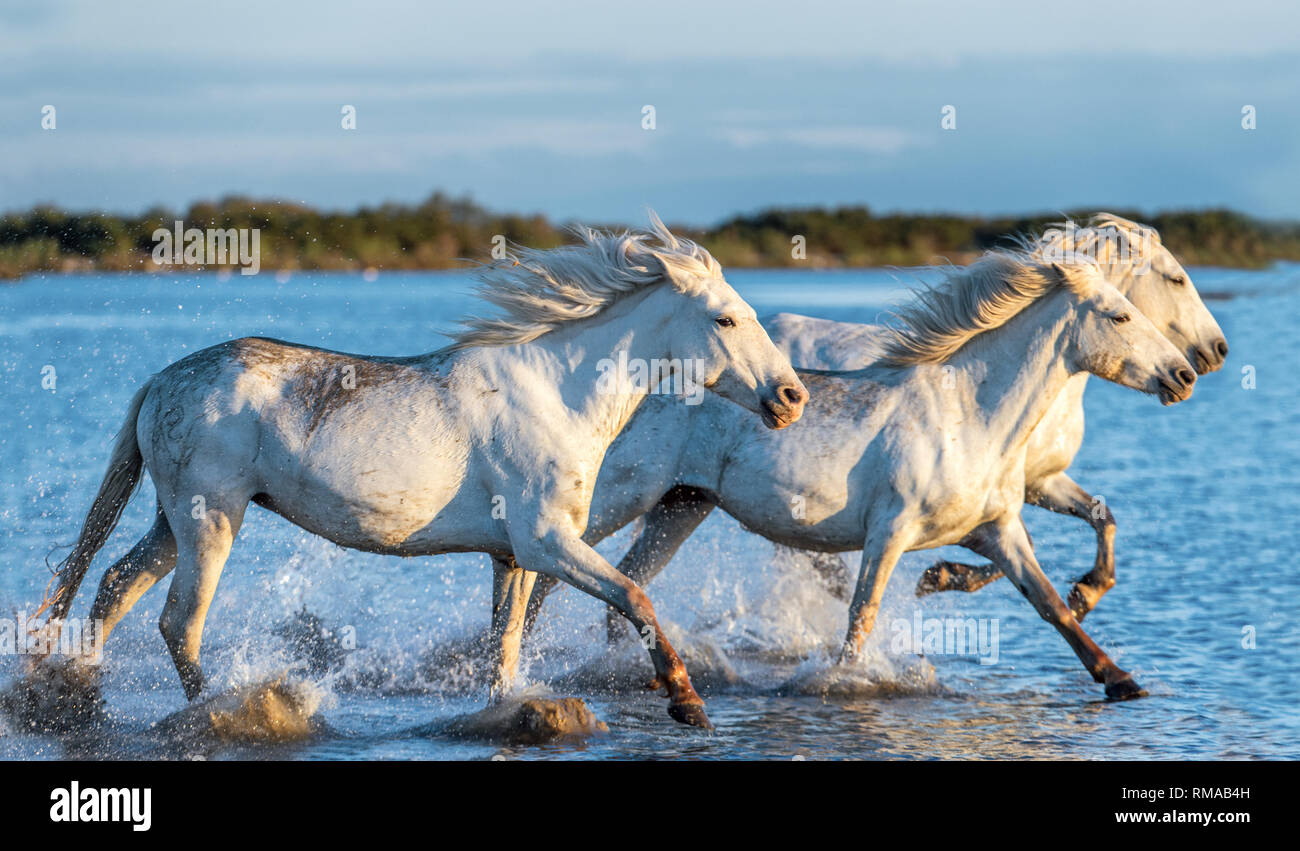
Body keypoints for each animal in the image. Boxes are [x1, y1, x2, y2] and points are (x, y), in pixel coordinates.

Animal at [37, 215, 808, 730]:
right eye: (726, 320)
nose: (792, 397)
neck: (559, 392)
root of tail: (159, 380)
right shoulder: (547, 542)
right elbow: (634, 597)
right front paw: (688, 703)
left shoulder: (511, 554)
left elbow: (504, 651)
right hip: (210, 520)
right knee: (178, 621)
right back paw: (222, 713)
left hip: (175, 520)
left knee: (114, 587)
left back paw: (76, 693)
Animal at [498, 251, 1199, 700]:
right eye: (1119, 315)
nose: (1186, 374)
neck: (971, 416)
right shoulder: (889, 532)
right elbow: (861, 620)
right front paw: (846, 682)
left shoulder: (998, 529)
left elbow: (1052, 604)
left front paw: (1121, 680)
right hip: (623, 496)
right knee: (547, 576)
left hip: (682, 505)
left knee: (620, 590)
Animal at [762, 214, 1227, 618]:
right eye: (1177, 278)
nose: (1217, 351)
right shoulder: (1015, 490)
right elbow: (1029, 543)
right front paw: (940, 577)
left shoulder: (1042, 481)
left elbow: (1101, 518)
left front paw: (1084, 595)